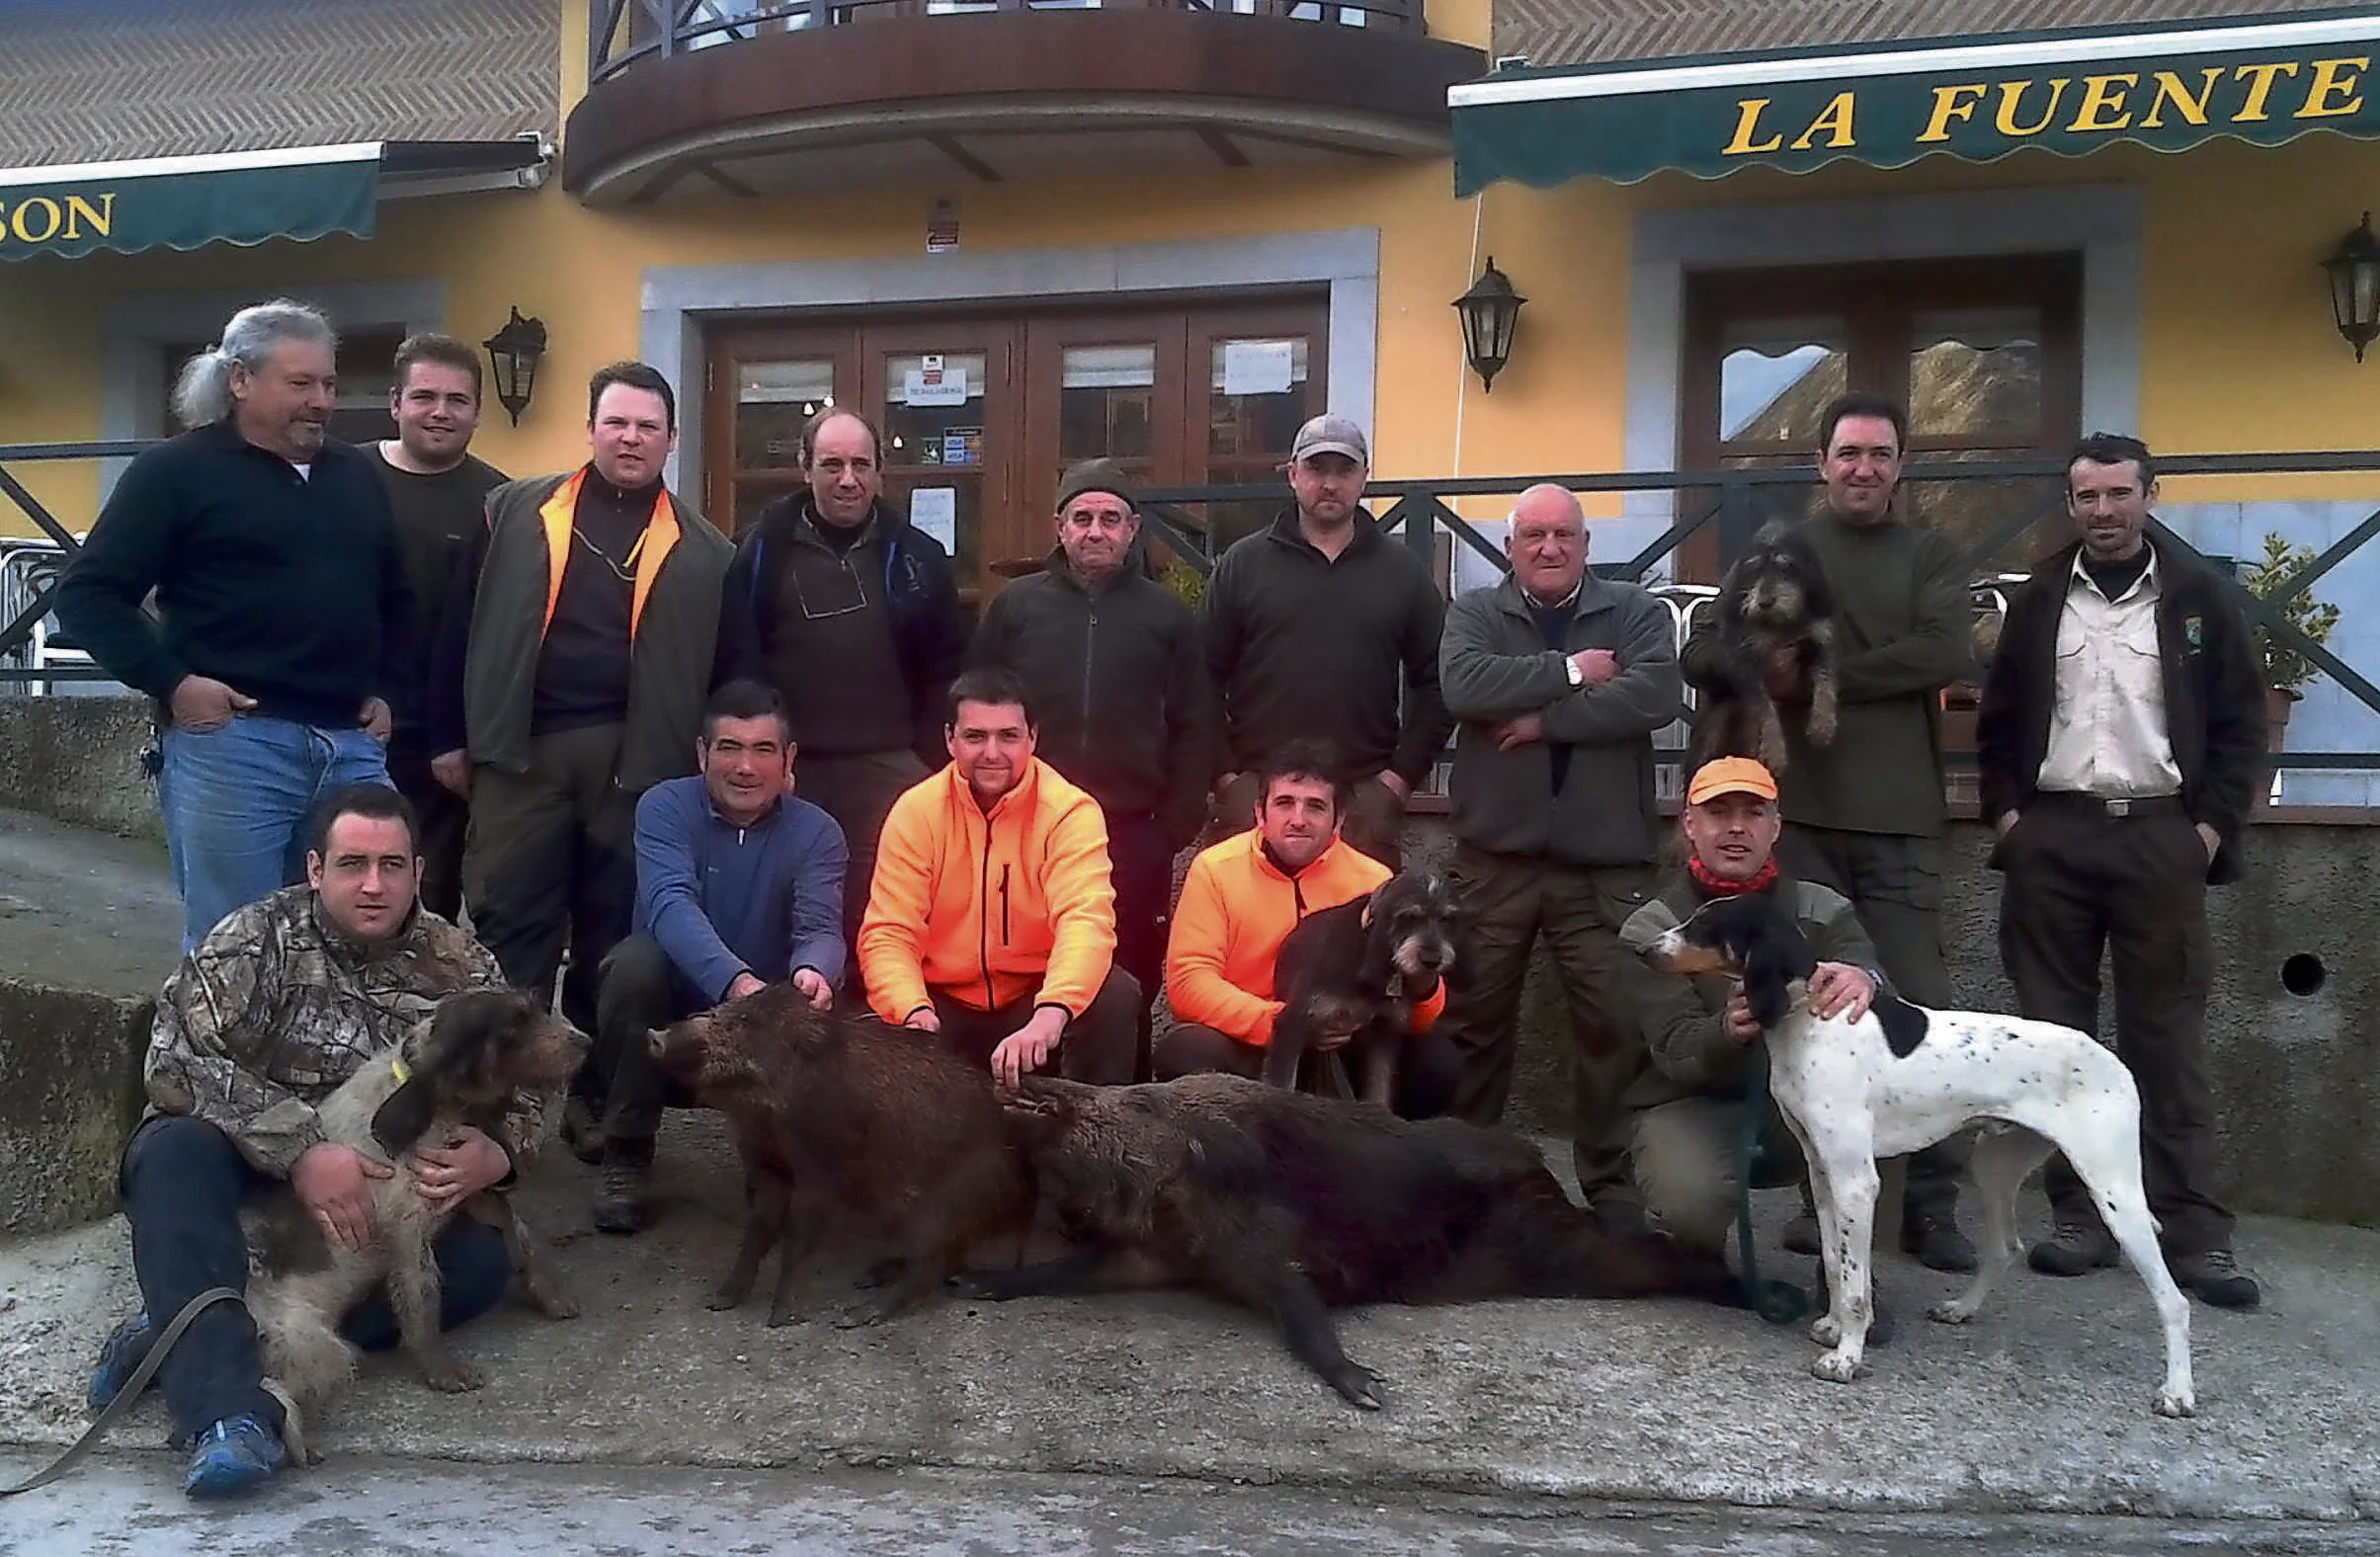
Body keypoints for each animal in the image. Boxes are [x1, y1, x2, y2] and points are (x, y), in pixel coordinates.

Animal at [647, 990, 1027, 1333]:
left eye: (746, 1023)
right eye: (719, 1010)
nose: (654, 1035)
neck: (764, 1115)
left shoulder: (822, 1172)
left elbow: (798, 1239)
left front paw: (781, 1318)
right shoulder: (766, 1164)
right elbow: (759, 1230)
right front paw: (720, 1301)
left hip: (939, 1208)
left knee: (932, 1265)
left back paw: (853, 1316)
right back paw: (870, 1276)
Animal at [966, 1081, 1752, 1409]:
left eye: (1135, 1096)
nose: (1027, 1073)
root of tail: (1537, 1166)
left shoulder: (1247, 1228)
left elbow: (1296, 1298)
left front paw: (1365, 1389)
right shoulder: (1160, 1251)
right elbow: (1075, 1270)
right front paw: (977, 1282)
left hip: (1548, 1249)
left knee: (1646, 1257)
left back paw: (1756, 1292)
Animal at [1266, 875, 1465, 1108]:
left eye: (1446, 919)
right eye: (1409, 916)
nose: (1432, 960)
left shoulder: (1384, 1028)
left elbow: (1379, 1084)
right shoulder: (1294, 1021)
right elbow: (1281, 1083)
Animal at [1647, 895, 2179, 1419]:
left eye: (1708, 925)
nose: (1645, 950)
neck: (1810, 1021)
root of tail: (2115, 1063)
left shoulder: (1857, 1183)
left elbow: (1856, 1285)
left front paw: (1847, 1358)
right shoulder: (1822, 1173)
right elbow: (1835, 1262)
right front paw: (1832, 1327)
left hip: (2113, 1193)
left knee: (2172, 1300)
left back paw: (2178, 1393)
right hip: (1994, 1168)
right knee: (2006, 1247)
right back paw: (1961, 1309)